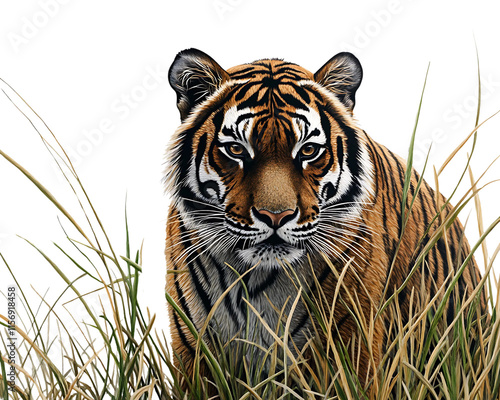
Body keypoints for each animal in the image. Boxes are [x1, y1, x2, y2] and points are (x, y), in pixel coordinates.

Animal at [163, 47, 484, 390]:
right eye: (236, 149)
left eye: (308, 151)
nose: (275, 216)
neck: (256, 280)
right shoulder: (194, 349)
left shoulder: (354, 345)